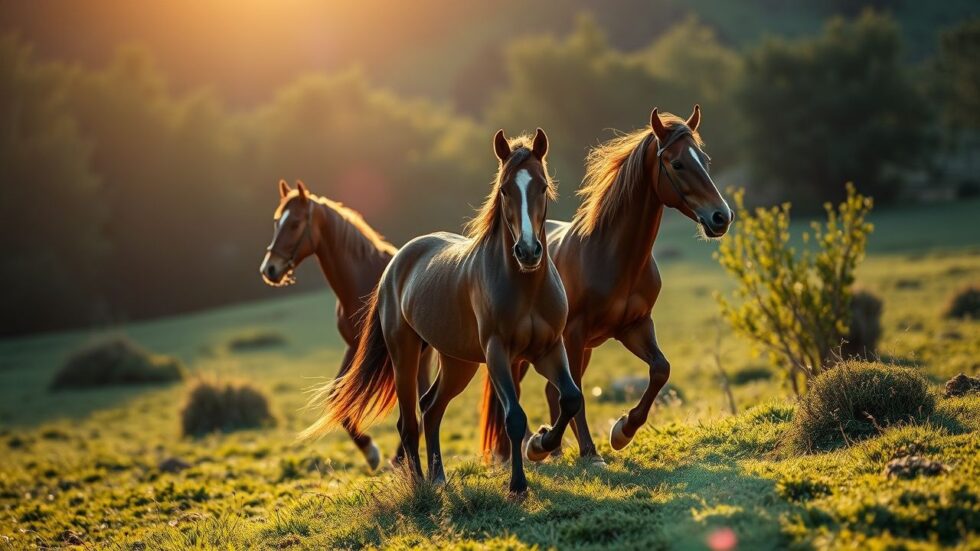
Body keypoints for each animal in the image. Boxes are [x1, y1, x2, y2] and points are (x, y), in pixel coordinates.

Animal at [258, 180, 433, 470]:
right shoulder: (353, 347)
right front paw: (371, 451)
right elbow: (336, 394)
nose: (270, 269)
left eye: (294, 223)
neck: (363, 279)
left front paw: (379, 453)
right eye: (275, 222)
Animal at [301, 128, 583, 496]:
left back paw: (438, 477)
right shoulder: (497, 353)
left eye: (542, 186)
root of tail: (396, 263)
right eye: (505, 189)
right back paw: (419, 483)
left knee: (431, 408)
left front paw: (540, 444)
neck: (526, 287)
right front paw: (518, 485)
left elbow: (571, 399)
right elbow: (514, 417)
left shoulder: (549, 348)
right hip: (405, 355)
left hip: (457, 362)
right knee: (409, 422)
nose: (527, 251)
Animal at [481, 105, 733, 464]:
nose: (721, 217)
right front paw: (589, 451)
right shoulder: (574, 334)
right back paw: (530, 449)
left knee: (550, 391)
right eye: (677, 163)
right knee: (520, 393)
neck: (611, 256)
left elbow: (661, 369)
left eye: (706, 160)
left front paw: (622, 430)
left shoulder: (634, 327)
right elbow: (577, 395)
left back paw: (553, 449)